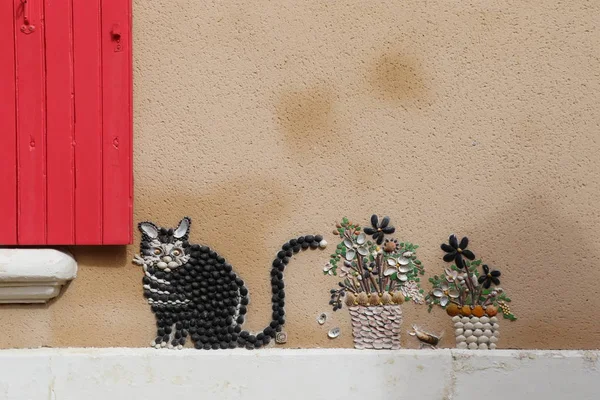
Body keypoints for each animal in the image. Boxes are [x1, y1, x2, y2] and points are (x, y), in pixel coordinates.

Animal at [133, 216, 326, 350]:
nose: (166, 260)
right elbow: (163, 329)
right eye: (157, 251)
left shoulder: (185, 311)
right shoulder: (162, 310)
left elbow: (179, 330)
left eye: (176, 252)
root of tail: (233, 332)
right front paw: (160, 343)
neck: (166, 275)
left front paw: (175, 345)